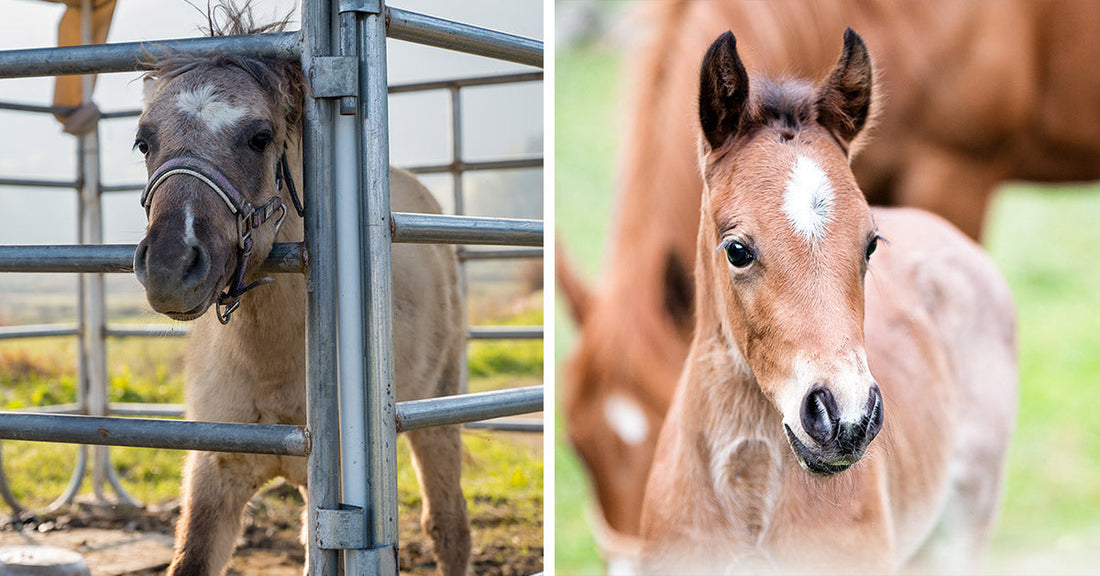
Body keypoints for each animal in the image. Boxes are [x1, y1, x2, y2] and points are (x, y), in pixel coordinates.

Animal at [131, 9, 469, 576]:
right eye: (144, 142)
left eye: (259, 137)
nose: (170, 265)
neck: (271, 365)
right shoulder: (213, 473)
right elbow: (191, 558)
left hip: (438, 414)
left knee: (449, 528)